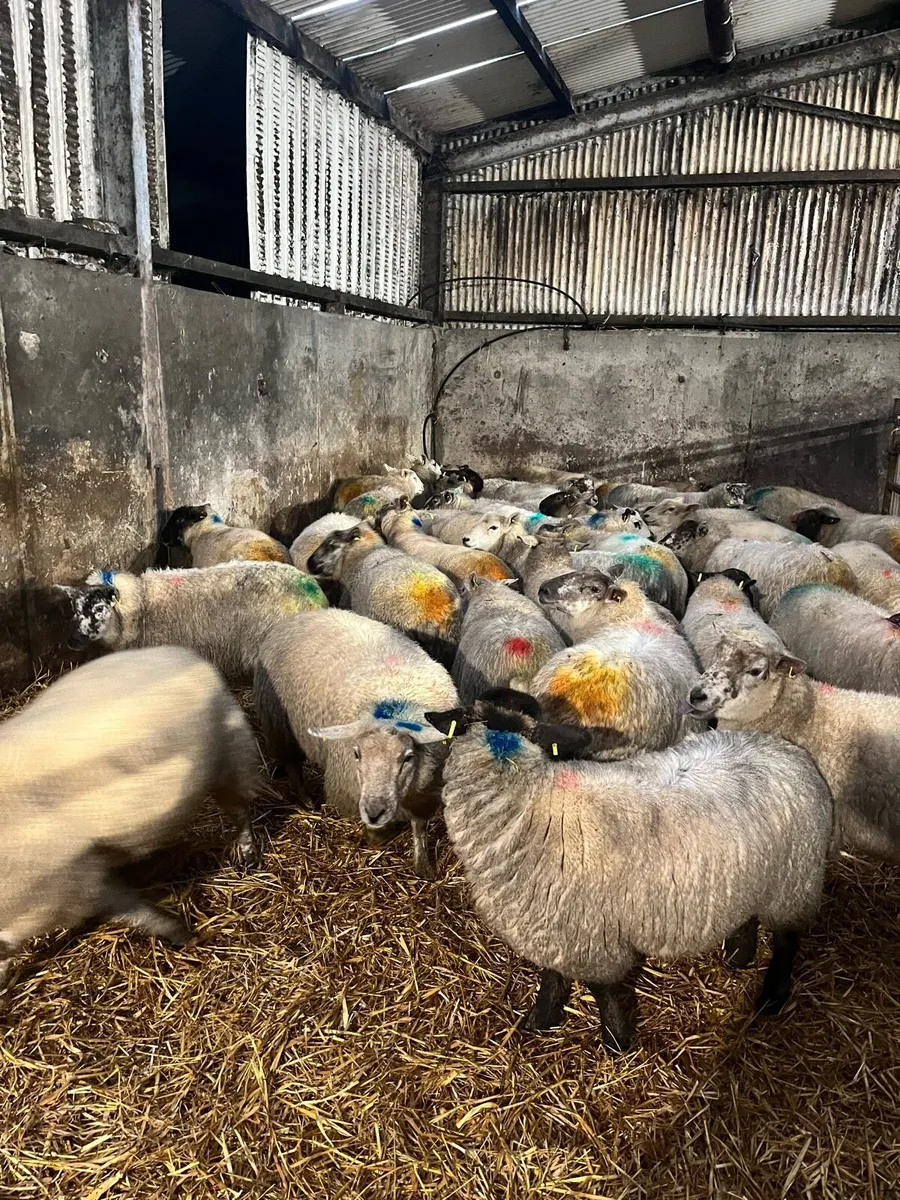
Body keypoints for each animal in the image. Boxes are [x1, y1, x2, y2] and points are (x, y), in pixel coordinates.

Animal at [0, 646, 261, 990]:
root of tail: (185, 654)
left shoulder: (74, 888)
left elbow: (135, 913)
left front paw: (182, 934)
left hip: (231, 756)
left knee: (241, 811)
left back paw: (247, 853)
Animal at [254, 610, 455, 878]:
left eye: (408, 757)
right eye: (356, 754)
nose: (374, 812)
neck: (394, 701)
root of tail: (305, 614)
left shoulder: (425, 789)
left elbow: (420, 827)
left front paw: (422, 864)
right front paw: (374, 838)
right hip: (279, 722)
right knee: (292, 763)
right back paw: (305, 799)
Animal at [424, 693, 832, 1050]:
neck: (530, 802)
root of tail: (791, 752)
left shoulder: (591, 937)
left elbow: (602, 991)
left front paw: (616, 1043)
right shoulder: (555, 928)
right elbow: (552, 976)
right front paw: (542, 1020)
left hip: (794, 881)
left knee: (787, 942)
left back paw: (772, 998)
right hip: (746, 872)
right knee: (747, 916)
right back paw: (737, 956)